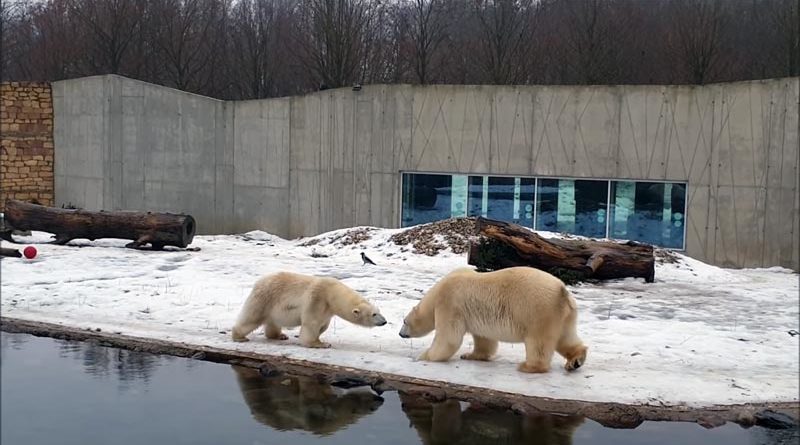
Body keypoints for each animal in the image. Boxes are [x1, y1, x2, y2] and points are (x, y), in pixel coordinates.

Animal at [231, 268, 388, 348]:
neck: (331, 293)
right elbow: (312, 323)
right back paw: (239, 337)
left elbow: (323, 325)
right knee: (252, 317)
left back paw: (279, 335)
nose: (384, 321)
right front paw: (320, 344)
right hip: (265, 298)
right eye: (374, 314)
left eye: (379, 311)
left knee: (272, 321)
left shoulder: (328, 310)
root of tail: (259, 282)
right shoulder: (316, 299)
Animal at [400, 266, 588, 372]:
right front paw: (469, 355)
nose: (401, 333)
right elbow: (484, 340)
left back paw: (528, 366)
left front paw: (423, 356)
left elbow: (448, 338)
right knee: (565, 337)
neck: (438, 291)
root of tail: (562, 291)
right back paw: (575, 361)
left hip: (537, 311)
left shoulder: (450, 304)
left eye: (404, 322)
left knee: (538, 342)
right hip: (563, 315)